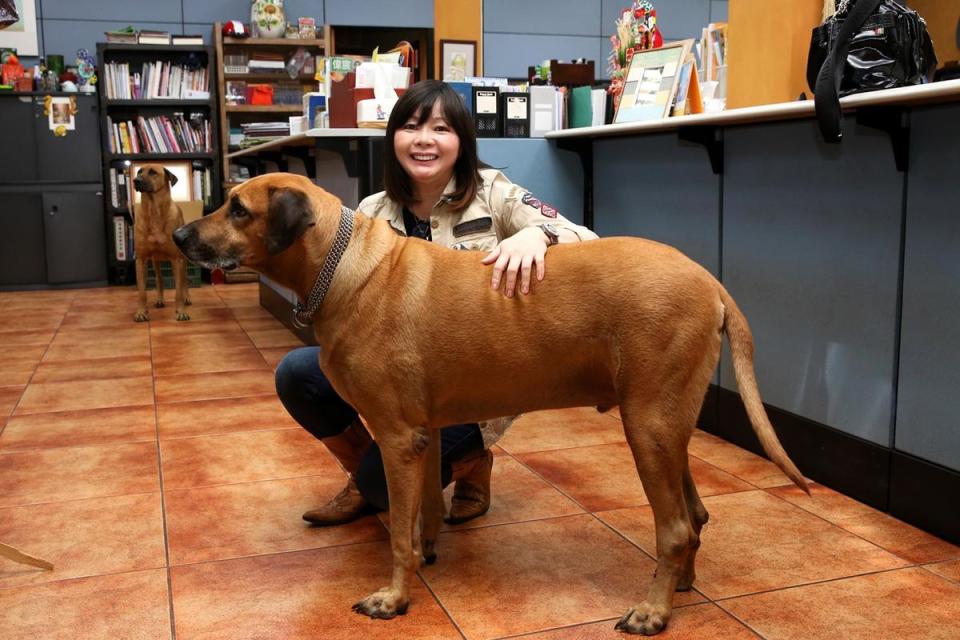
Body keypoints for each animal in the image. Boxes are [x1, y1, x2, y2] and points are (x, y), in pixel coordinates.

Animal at [133, 165, 191, 322]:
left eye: (153, 172)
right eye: (139, 171)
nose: (135, 180)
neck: (154, 211)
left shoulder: (177, 260)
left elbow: (178, 291)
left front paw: (181, 312)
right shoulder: (141, 260)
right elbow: (142, 292)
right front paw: (141, 312)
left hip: (182, 260)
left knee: (184, 280)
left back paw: (187, 298)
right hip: (155, 261)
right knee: (159, 279)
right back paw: (160, 299)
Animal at [174, 171, 808, 636]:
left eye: (237, 208)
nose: (180, 238)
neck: (344, 264)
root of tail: (709, 279)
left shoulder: (397, 438)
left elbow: (398, 534)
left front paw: (393, 598)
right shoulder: (422, 436)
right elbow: (423, 516)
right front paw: (426, 557)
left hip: (648, 426)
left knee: (674, 527)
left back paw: (653, 610)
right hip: (668, 426)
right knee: (695, 515)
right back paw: (678, 586)